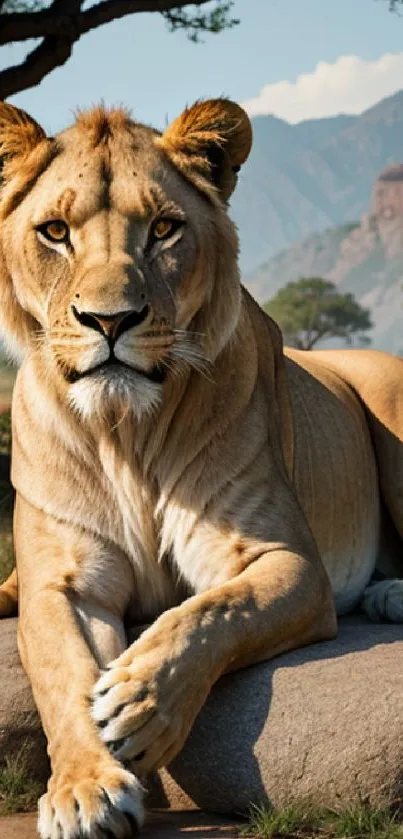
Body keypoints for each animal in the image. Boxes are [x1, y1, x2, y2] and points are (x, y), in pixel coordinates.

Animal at [0, 97, 402, 839]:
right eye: (55, 232)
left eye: (163, 228)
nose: (110, 321)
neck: (126, 431)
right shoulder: (60, 584)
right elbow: (61, 675)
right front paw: (84, 788)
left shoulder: (286, 562)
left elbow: (211, 612)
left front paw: (138, 703)